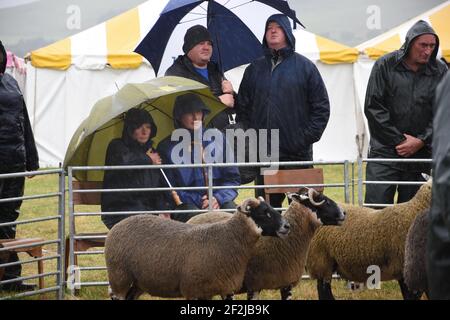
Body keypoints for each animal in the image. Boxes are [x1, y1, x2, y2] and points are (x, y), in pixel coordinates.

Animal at [104, 198, 288, 300]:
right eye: (265, 212)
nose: (287, 226)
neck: (228, 237)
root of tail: (118, 225)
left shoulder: (224, 288)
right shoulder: (193, 289)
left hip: (138, 282)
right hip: (120, 277)